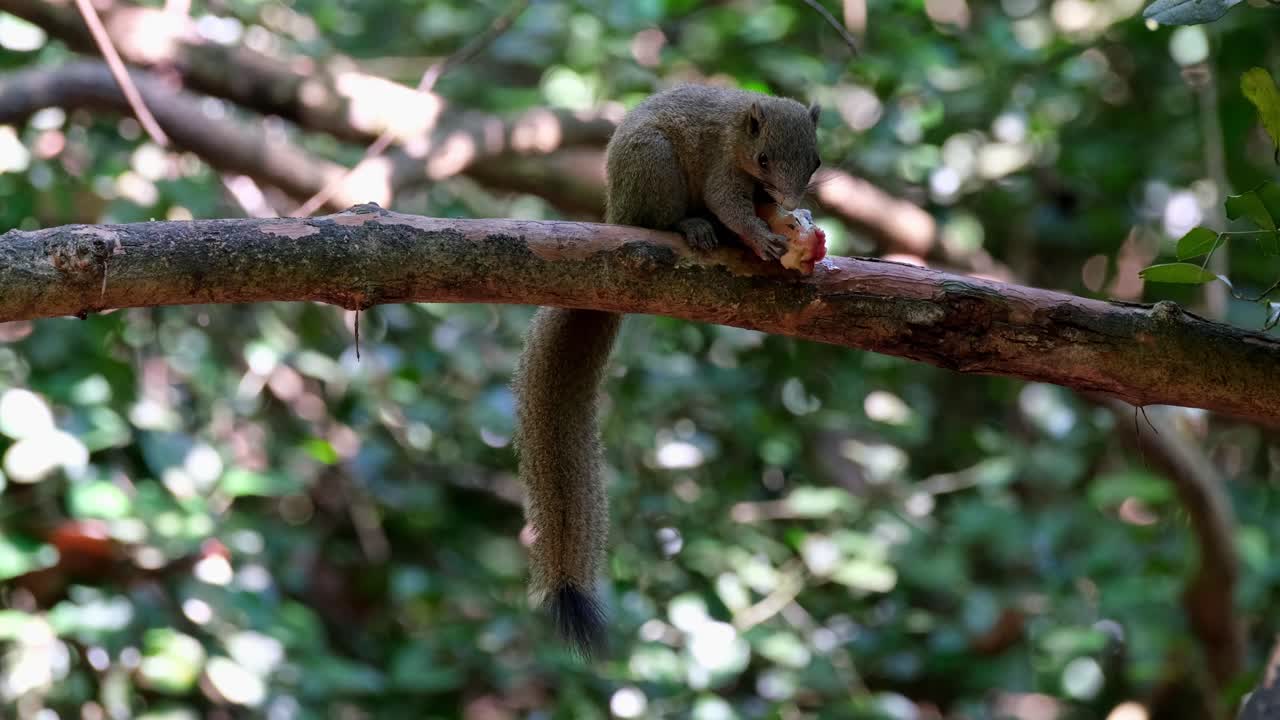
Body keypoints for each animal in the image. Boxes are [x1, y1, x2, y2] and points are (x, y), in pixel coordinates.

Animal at [512, 84, 822, 656]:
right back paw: (693, 226)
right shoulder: (723, 165)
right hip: (653, 167)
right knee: (660, 219)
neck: (742, 131)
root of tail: (615, 208)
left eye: (815, 161)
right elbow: (731, 203)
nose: (792, 204)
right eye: (765, 158)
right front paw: (762, 236)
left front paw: (789, 223)